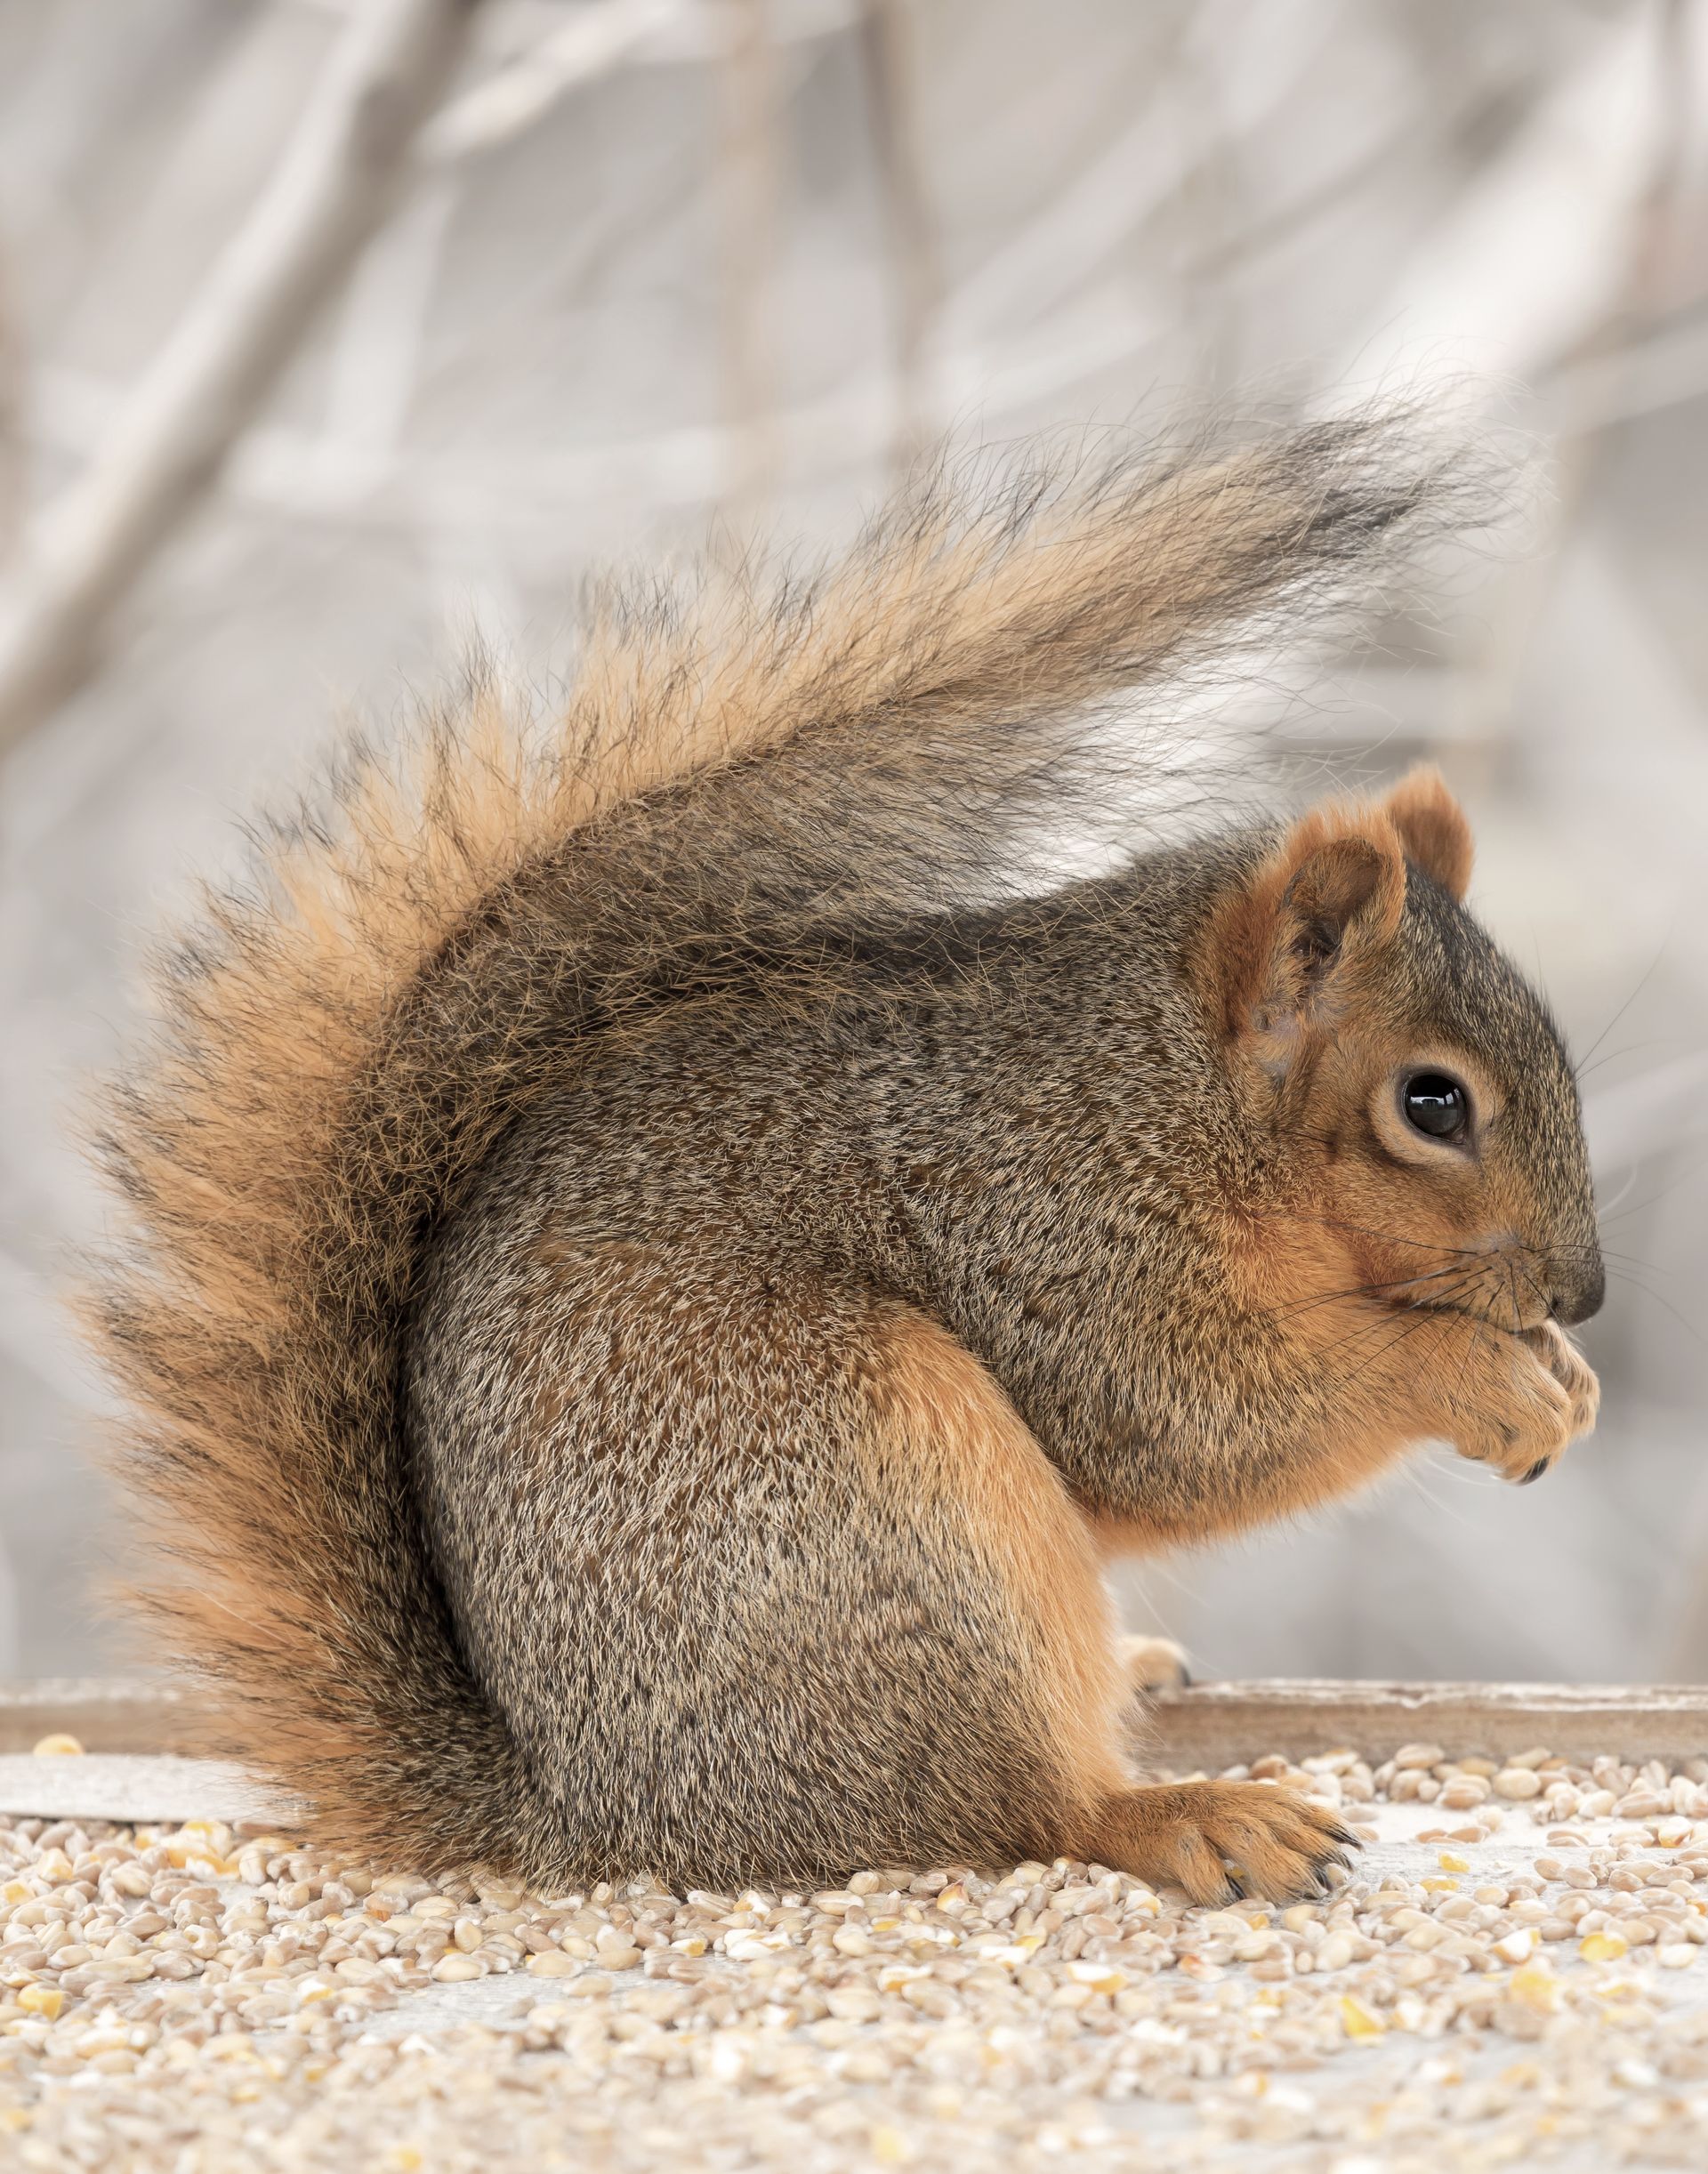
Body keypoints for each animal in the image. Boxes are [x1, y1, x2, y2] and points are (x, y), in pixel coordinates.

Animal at [89, 414, 1602, 1906]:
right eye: (1432, 1103)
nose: (1582, 1296)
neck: (1169, 1091)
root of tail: (601, 1813)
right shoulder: (1047, 1227)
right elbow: (1189, 1424)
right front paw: (1478, 1377)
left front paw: (1564, 1378)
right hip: (872, 1490)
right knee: (1025, 1806)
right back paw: (1192, 1816)